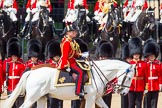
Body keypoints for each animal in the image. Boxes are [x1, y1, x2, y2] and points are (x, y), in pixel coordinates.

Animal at [5, 59, 135, 107]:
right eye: (129, 78)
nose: (124, 93)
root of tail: (31, 71)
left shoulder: (97, 98)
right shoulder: (90, 98)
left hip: (41, 97)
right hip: (32, 97)